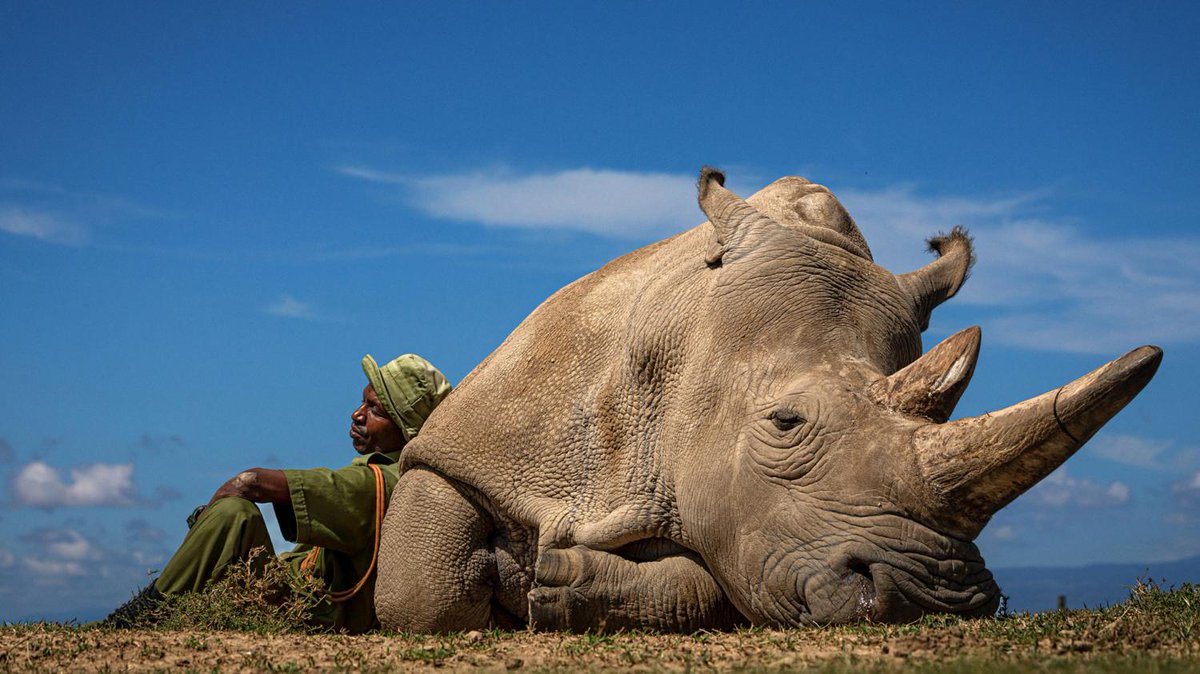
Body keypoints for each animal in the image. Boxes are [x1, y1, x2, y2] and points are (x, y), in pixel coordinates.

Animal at [376, 167, 1161, 628]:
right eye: (786, 423)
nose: (934, 597)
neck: (681, 349)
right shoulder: (474, 442)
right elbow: (422, 591)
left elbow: (710, 579)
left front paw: (555, 584)